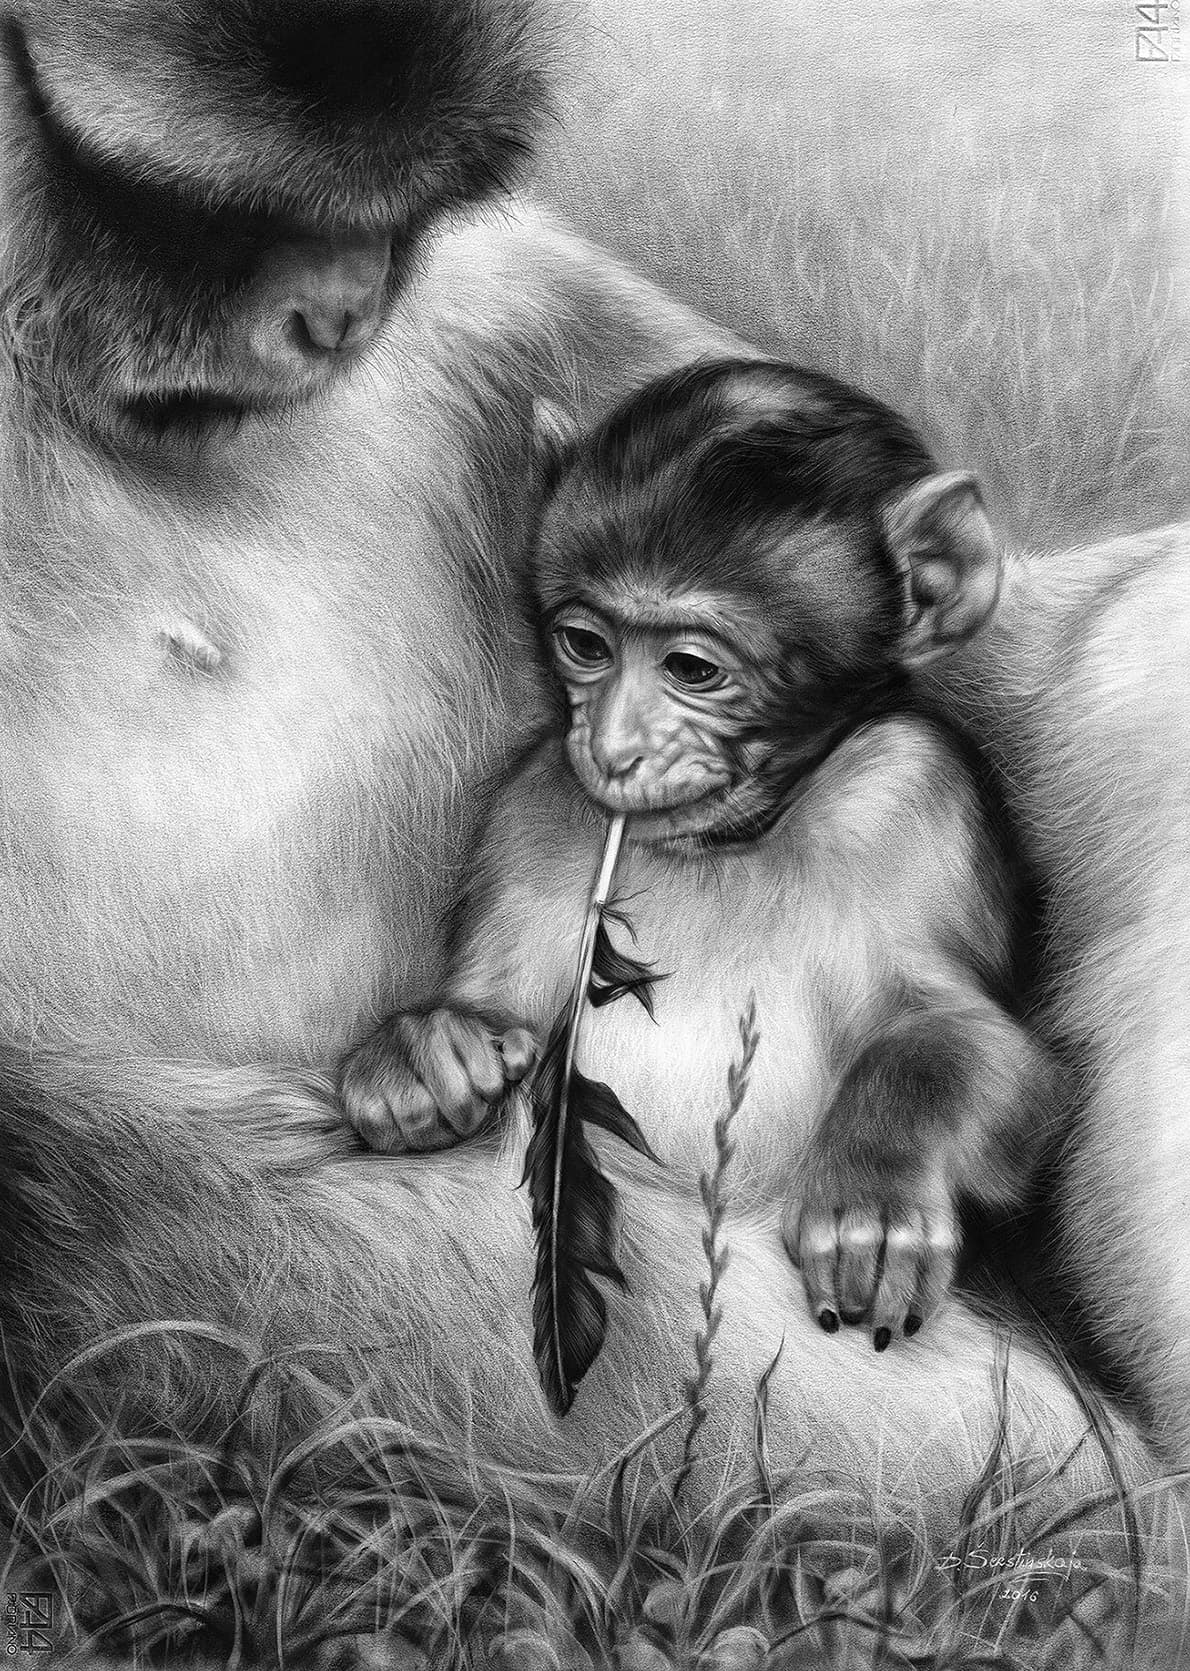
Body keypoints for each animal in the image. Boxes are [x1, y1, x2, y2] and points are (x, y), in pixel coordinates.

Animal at [338, 356, 1058, 1351]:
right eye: (586, 645)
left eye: (691, 669)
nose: (610, 749)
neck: (734, 839)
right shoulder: (536, 805)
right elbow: (497, 1009)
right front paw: (425, 1050)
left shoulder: (915, 796)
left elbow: (982, 1044)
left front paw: (875, 1189)